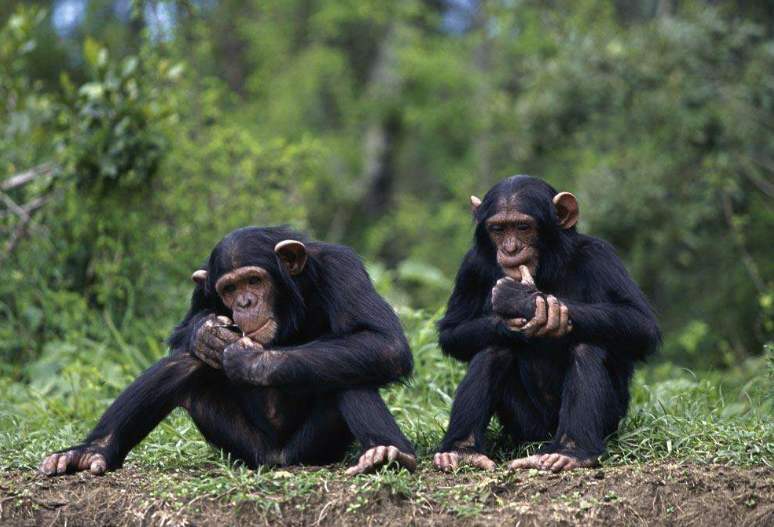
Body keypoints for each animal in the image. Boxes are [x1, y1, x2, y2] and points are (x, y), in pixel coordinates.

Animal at [41, 227, 418, 478]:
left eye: (254, 281)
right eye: (230, 288)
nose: (245, 303)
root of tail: (278, 459)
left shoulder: (342, 267)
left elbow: (383, 340)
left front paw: (253, 361)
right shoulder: (204, 285)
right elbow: (182, 331)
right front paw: (205, 333)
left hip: (311, 448)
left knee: (352, 369)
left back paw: (386, 453)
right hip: (243, 446)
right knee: (182, 364)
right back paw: (89, 451)